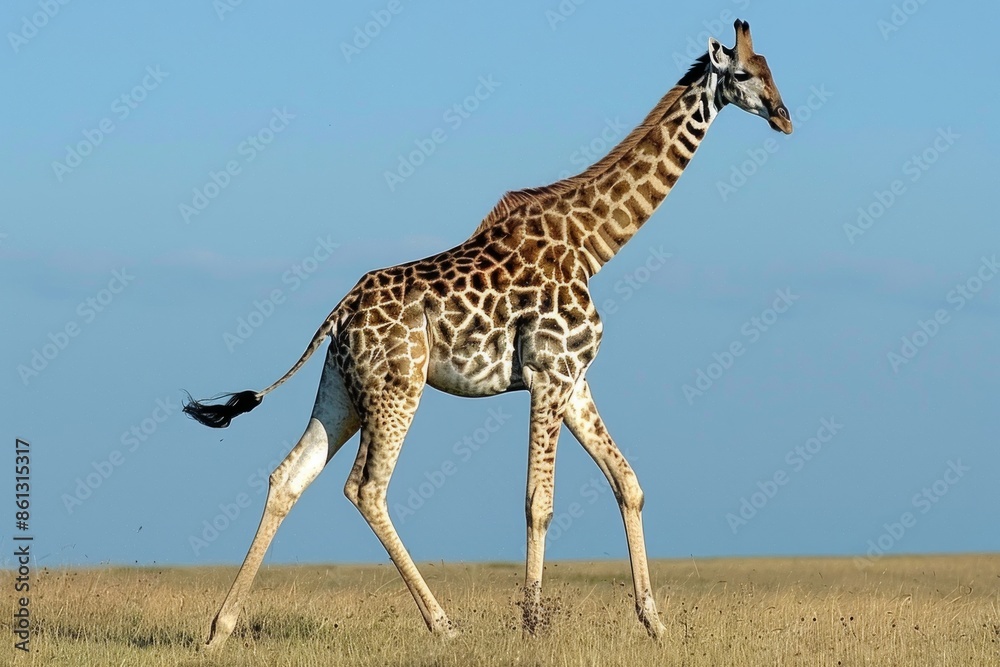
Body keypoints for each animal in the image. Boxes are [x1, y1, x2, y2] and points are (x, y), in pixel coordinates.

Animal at [185, 19, 791, 650]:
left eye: (773, 71)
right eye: (743, 74)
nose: (784, 116)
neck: (593, 246)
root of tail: (340, 312)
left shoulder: (574, 381)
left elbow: (628, 482)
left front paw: (654, 622)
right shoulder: (549, 375)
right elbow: (538, 501)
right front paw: (533, 624)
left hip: (343, 391)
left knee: (289, 476)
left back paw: (219, 629)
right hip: (397, 390)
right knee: (367, 488)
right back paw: (444, 625)